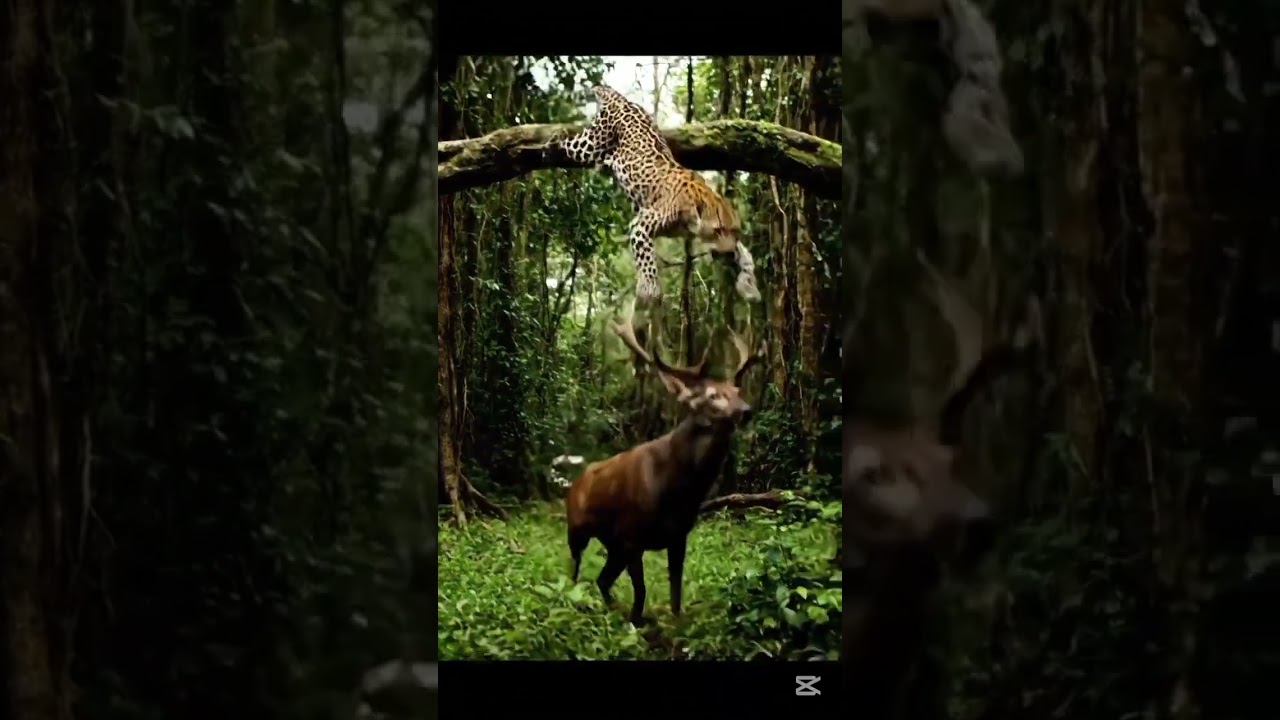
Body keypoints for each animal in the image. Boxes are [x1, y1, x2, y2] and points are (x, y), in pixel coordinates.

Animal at [550, 85, 762, 310]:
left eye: (735, 231)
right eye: (718, 230)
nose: (728, 255)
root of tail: (622, 100)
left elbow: (744, 254)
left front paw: (749, 284)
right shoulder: (640, 225)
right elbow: (648, 262)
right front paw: (650, 291)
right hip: (591, 143)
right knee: (572, 144)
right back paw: (556, 138)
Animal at [564, 316, 766, 627]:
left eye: (737, 392)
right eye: (713, 395)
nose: (746, 410)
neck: (678, 489)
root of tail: (575, 484)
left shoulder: (677, 535)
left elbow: (675, 591)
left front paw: (673, 622)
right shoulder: (632, 535)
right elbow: (642, 590)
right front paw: (636, 623)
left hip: (612, 543)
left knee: (602, 580)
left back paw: (611, 607)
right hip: (577, 529)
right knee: (575, 571)